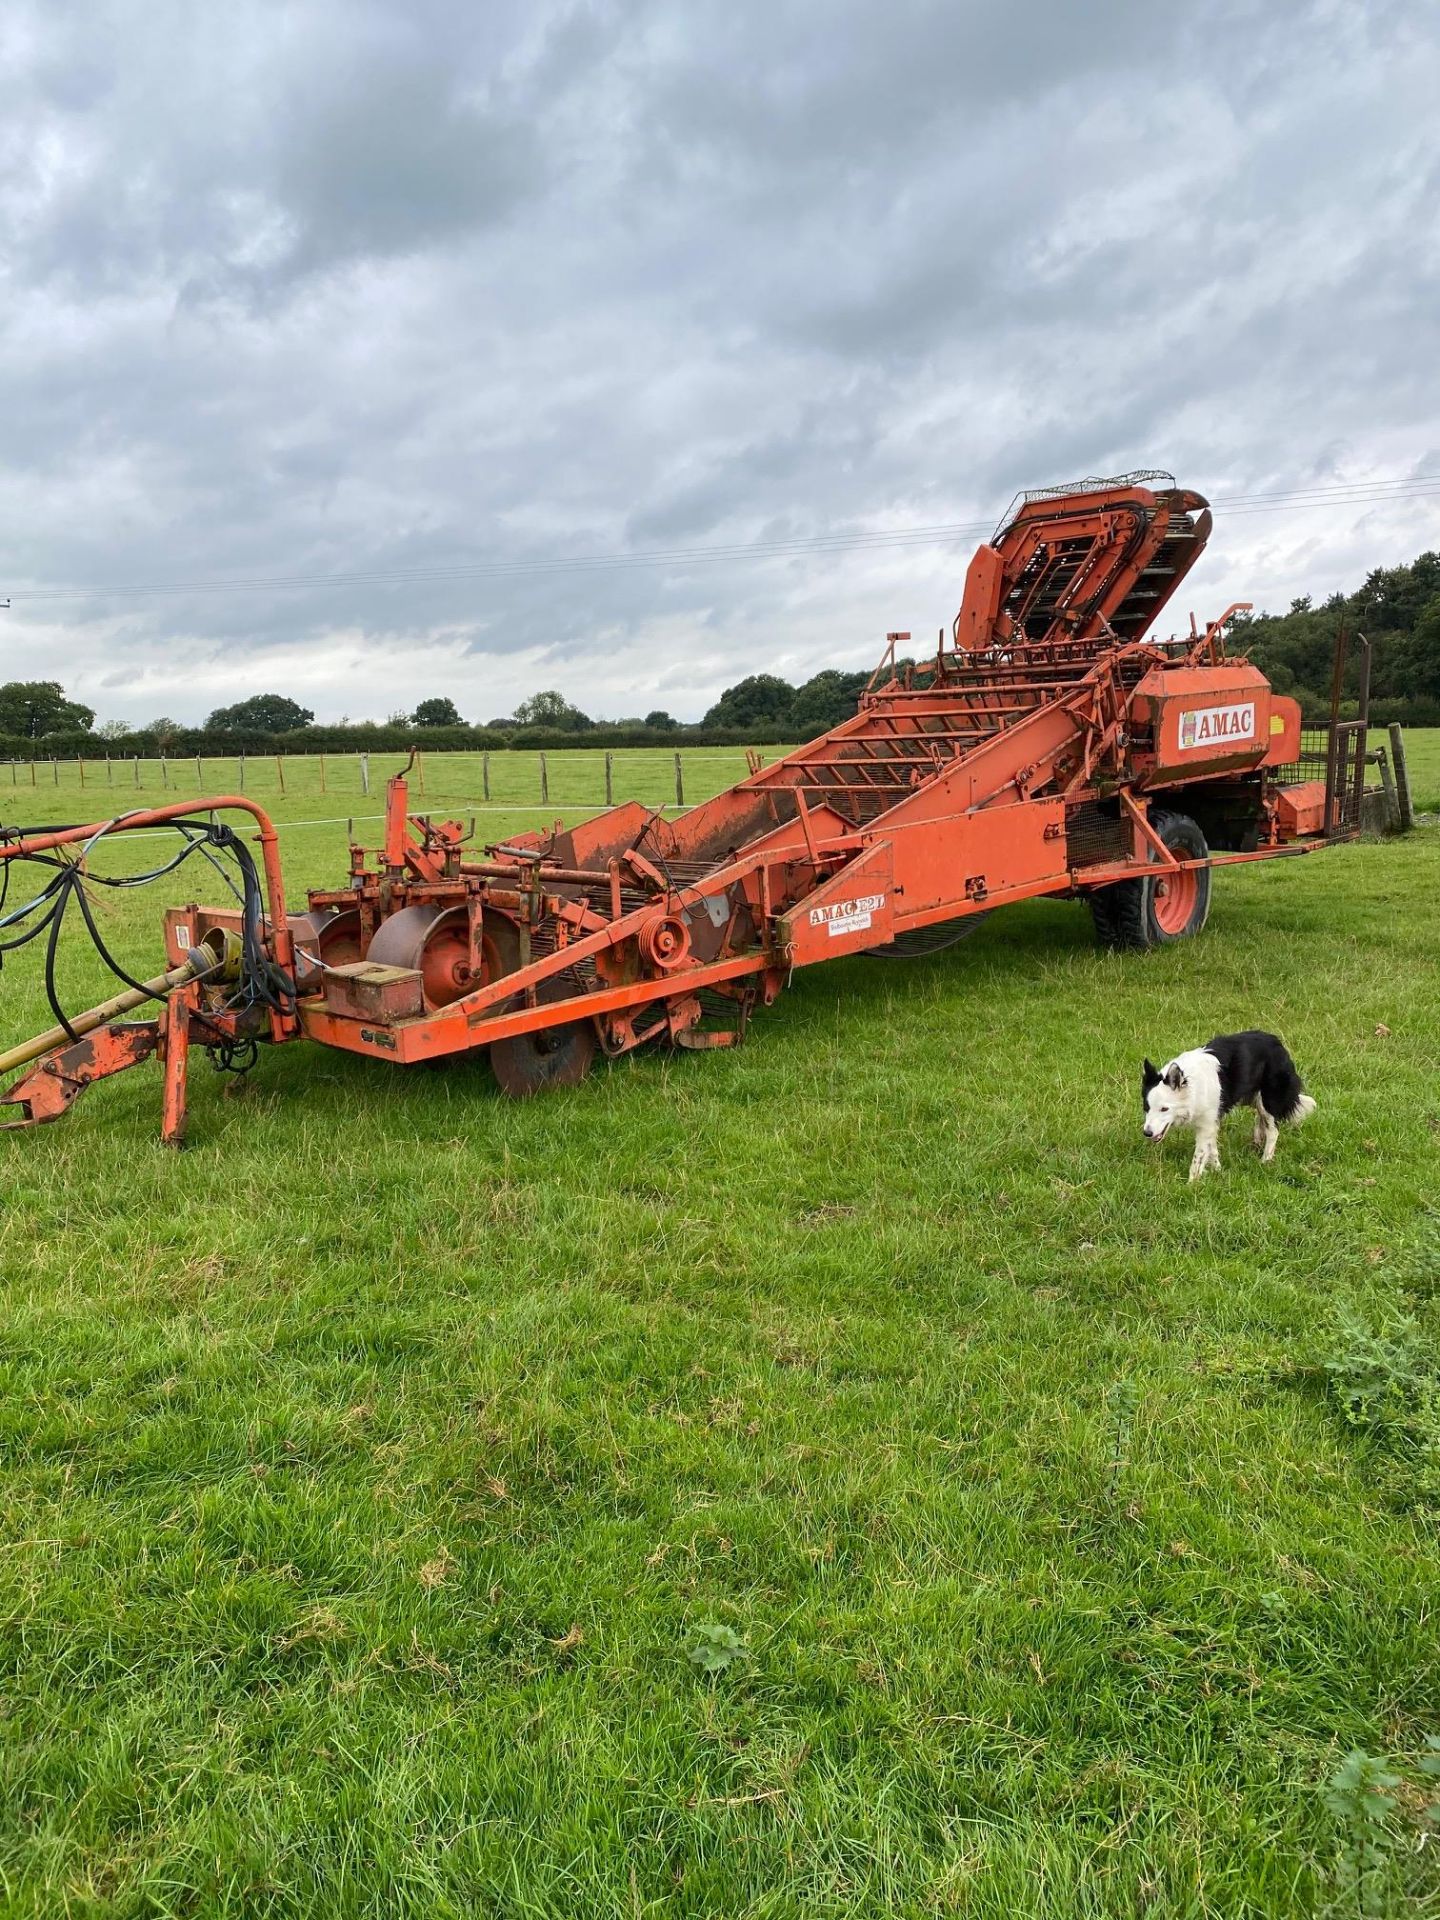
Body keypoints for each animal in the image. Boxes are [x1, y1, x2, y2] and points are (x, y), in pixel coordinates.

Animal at [1144, 1029, 1313, 1175]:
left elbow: (1199, 1156)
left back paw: (1265, 1160)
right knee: (1261, 1119)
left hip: (1268, 1099)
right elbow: (1212, 1149)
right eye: (1146, 1108)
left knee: (1273, 1130)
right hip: (1253, 1098)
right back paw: (1257, 1141)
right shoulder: (1212, 1120)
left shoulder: (1206, 1123)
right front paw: (1217, 1170)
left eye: (1164, 1109)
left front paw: (1192, 1184)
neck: (1193, 1086)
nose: (1147, 1133)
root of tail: (1276, 1041)